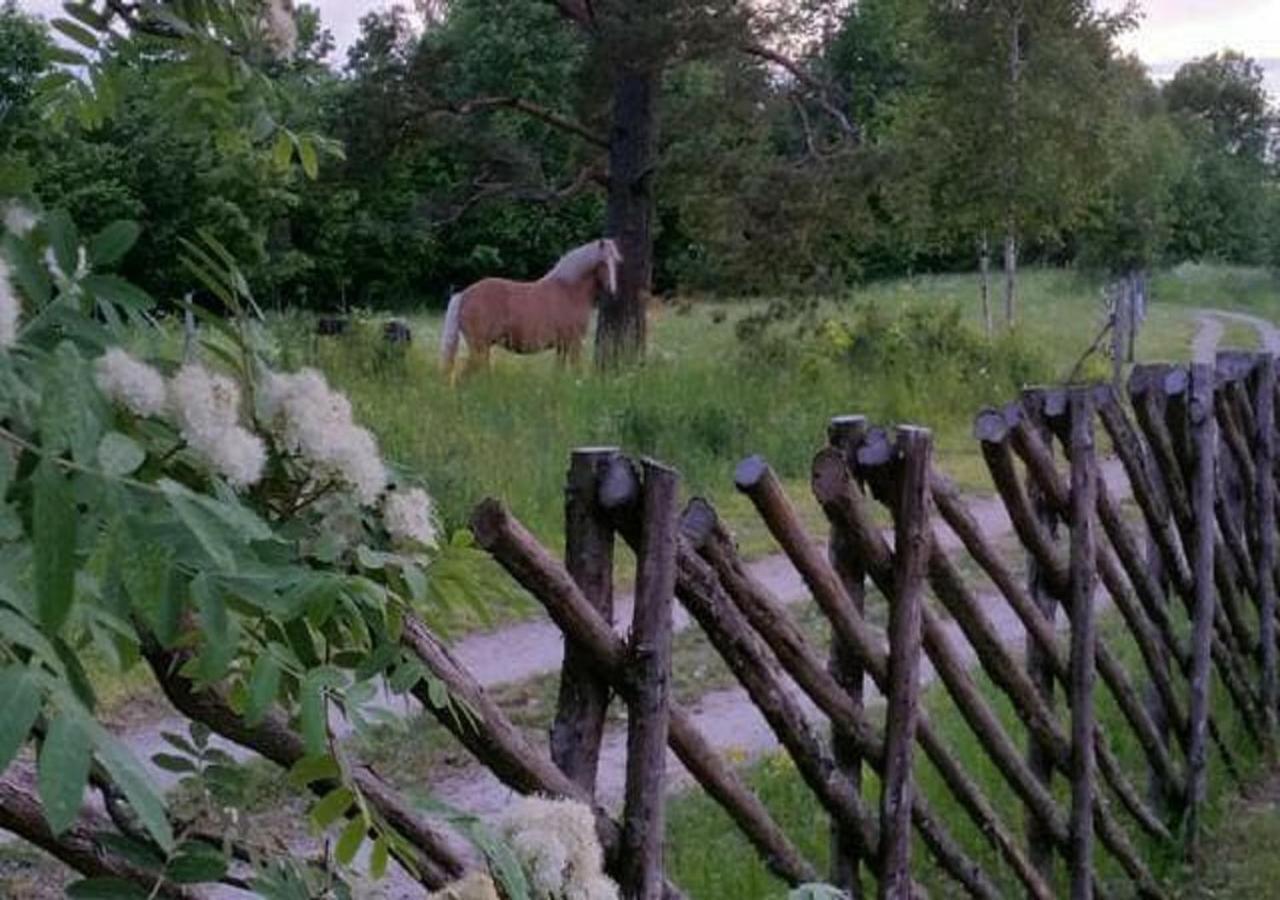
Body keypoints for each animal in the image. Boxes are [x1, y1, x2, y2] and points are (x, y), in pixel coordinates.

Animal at [437, 238, 622, 381]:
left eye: (616, 262)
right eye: (602, 263)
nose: (613, 291)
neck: (569, 289)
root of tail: (464, 294)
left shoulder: (562, 346)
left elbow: (559, 373)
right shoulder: (574, 343)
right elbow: (576, 370)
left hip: (483, 350)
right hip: (479, 349)